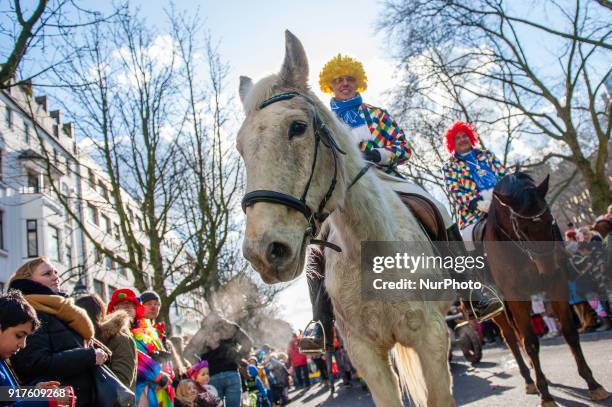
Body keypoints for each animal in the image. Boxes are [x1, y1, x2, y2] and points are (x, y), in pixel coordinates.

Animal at [237, 31, 456, 407]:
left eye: (297, 127)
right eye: (240, 147)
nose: (264, 252)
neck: (370, 252)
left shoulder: (432, 338)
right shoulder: (365, 353)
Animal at [482, 171, 608, 406]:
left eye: (551, 220)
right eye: (522, 229)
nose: (548, 270)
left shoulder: (557, 285)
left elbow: (570, 333)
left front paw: (593, 384)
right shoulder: (517, 298)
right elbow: (530, 343)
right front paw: (546, 395)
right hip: (501, 310)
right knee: (511, 338)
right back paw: (529, 380)